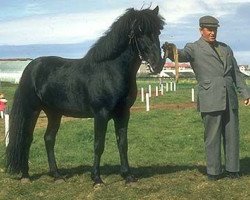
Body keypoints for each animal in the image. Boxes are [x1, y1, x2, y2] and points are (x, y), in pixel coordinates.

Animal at [5, 5, 164, 184]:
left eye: (158, 31)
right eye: (138, 32)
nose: (157, 64)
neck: (111, 70)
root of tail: (31, 67)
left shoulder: (123, 113)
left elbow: (123, 144)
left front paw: (128, 176)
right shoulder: (101, 114)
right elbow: (98, 145)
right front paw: (97, 179)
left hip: (54, 113)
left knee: (49, 139)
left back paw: (57, 175)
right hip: (32, 110)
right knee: (26, 139)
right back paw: (25, 176)